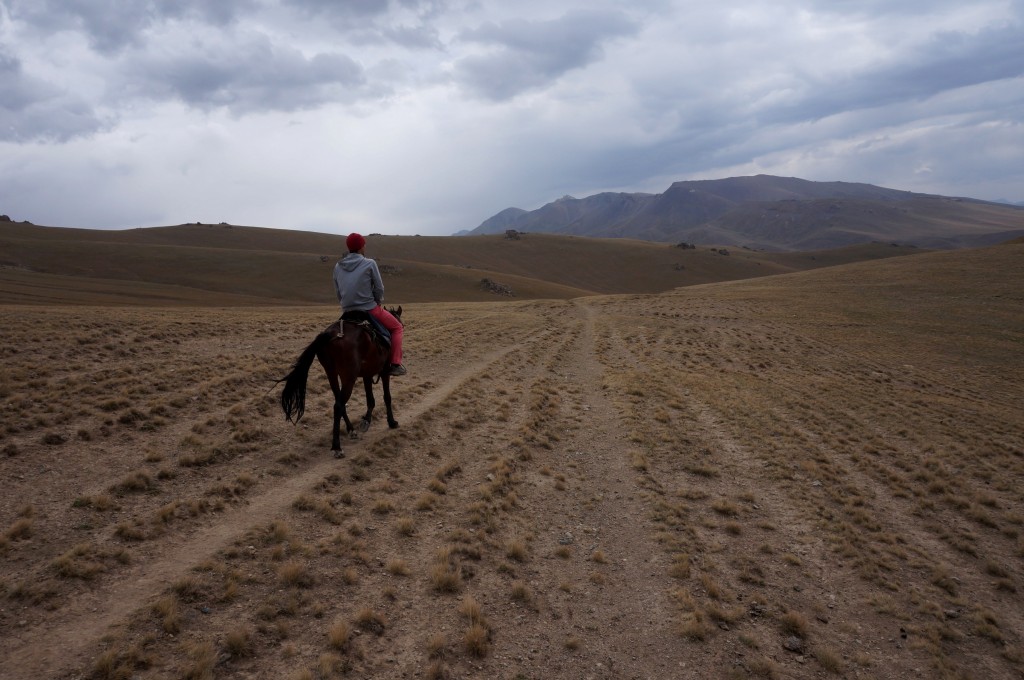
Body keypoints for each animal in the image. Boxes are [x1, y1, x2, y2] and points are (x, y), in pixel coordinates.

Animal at [278, 307, 401, 456]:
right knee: (338, 405)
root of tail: (329, 334)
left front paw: (366, 421)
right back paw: (337, 446)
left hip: (331, 373)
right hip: (348, 376)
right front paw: (391, 422)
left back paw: (351, 430)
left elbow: (370, 400)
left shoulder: (367, 374)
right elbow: (387, 397)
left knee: (339, 402)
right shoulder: (384, 371)